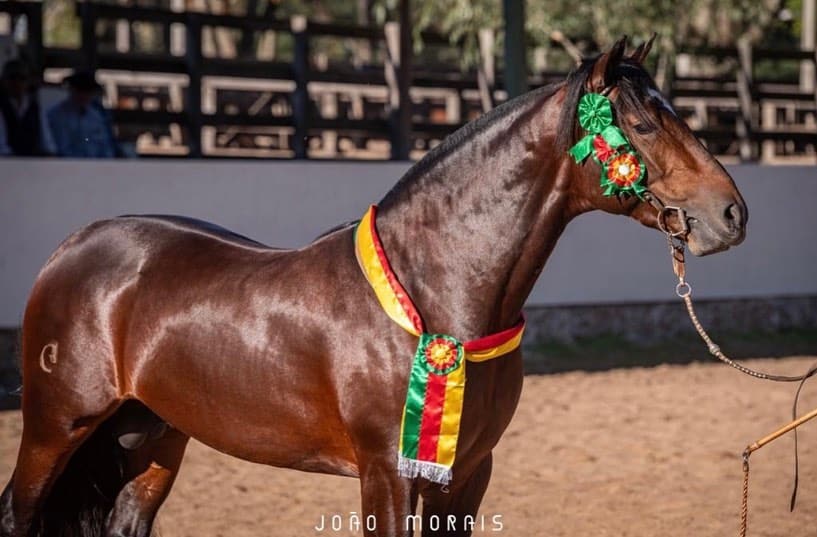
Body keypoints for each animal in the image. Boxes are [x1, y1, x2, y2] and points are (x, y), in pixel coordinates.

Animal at [0, 37, 744, 536]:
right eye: (642, 122)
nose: (732, 213)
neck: (434, 289)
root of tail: (74, 247)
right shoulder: (387, 471)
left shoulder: (466, 473)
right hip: (56, 426)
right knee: (16, 511)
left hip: (150, 440)